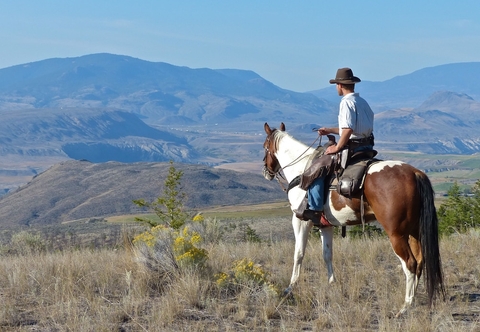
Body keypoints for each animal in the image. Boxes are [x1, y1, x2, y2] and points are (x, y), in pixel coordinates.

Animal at [262, 122, 446, 316]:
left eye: (265, 147)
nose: (266, 171)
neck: (301, 169)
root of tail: (415, 173)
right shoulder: (325, 226)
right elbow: (327, 254)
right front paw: (332, 283)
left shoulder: (301, 221)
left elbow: (298, 254)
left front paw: (290, 287)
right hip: (414, 231)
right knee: (420, 261)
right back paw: (414, 299)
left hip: (396, 234)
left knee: (409, 263)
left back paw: (406, 305)